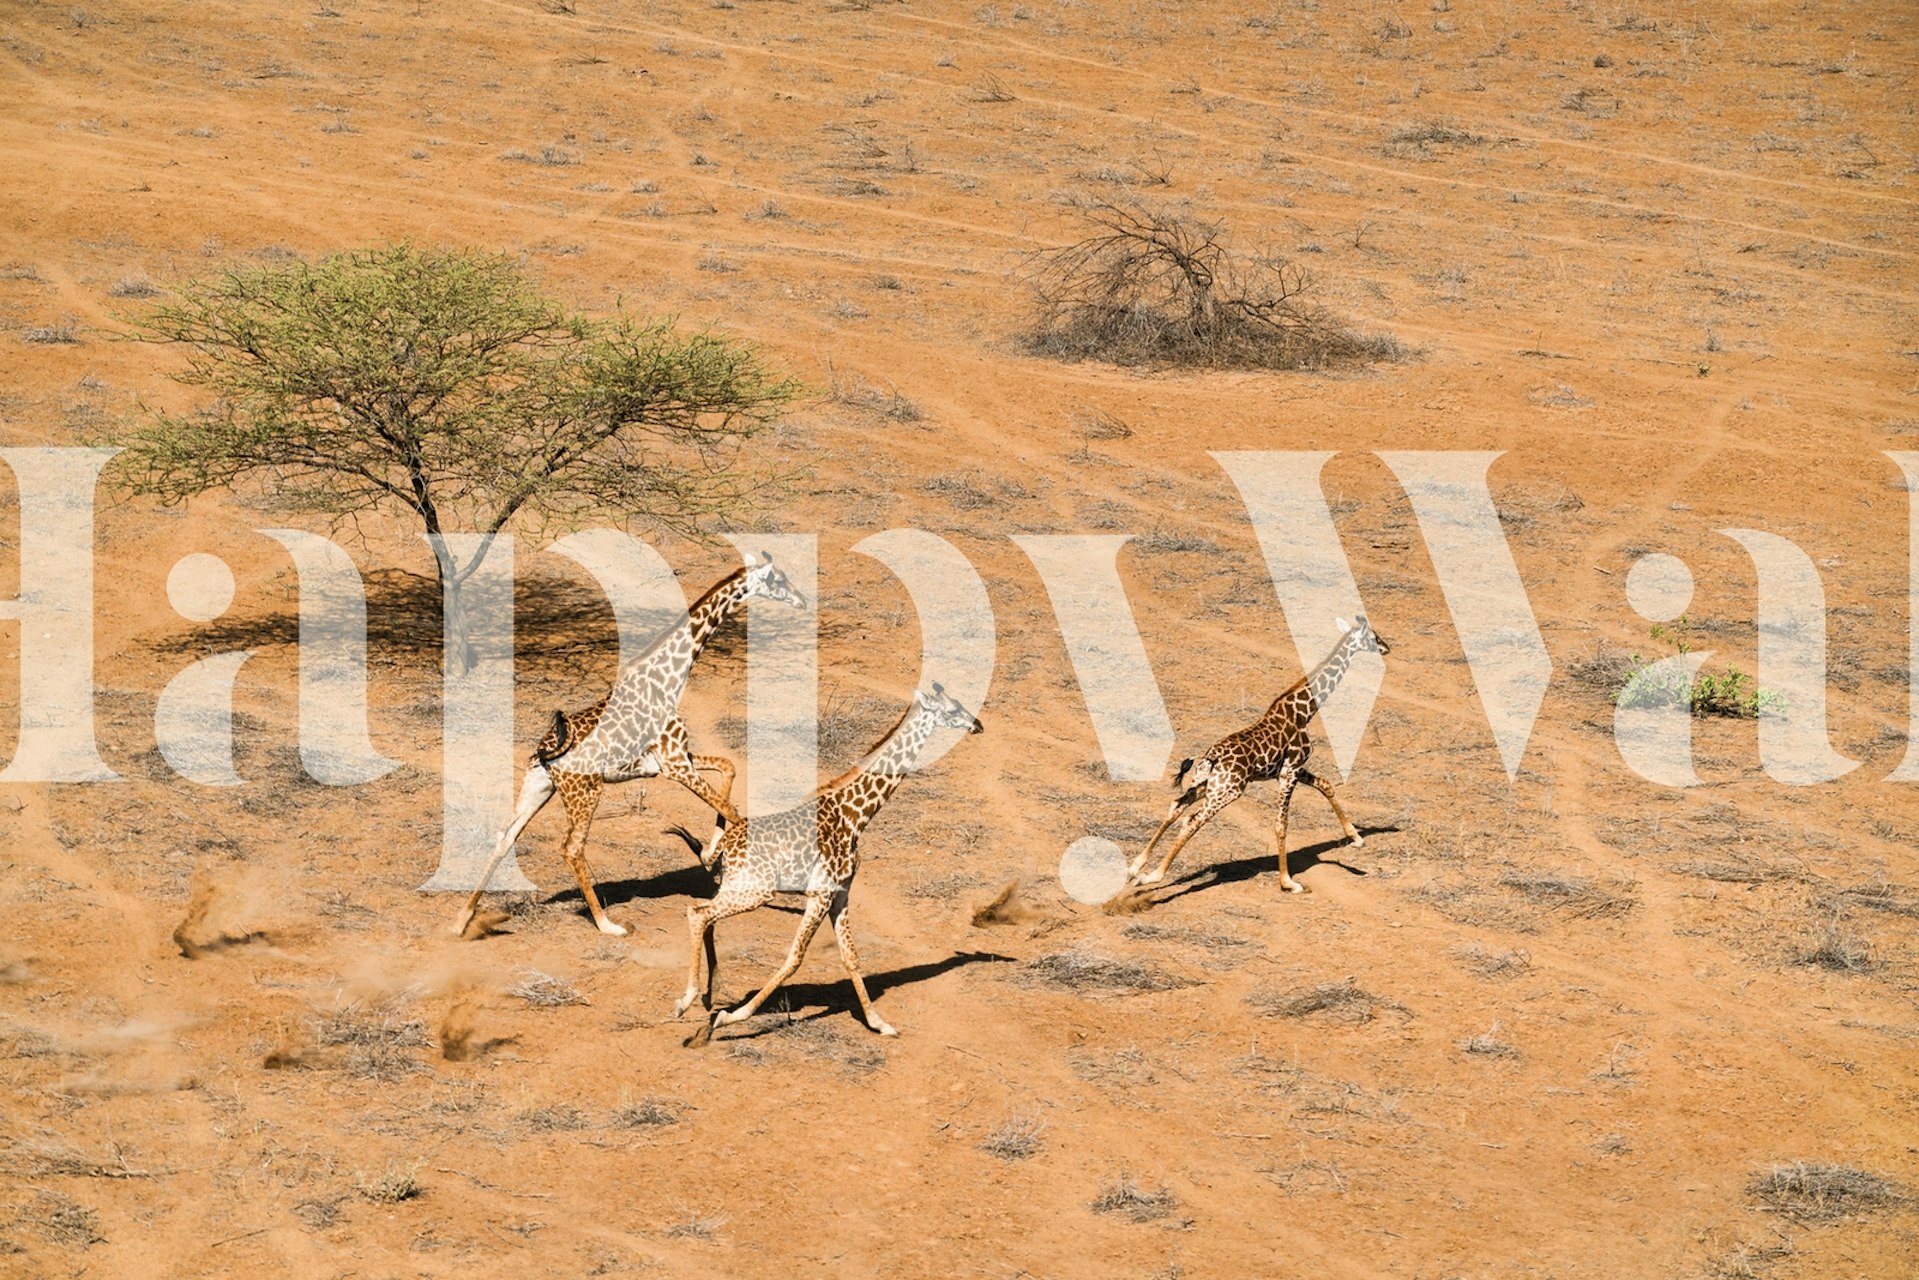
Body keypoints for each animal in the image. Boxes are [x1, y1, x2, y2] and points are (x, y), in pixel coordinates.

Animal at [451, 553, 806, 938]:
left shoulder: (675, 758)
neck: (668, 677)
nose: (803, 599)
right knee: (572, 847)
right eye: (778, 579)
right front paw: (718, 859)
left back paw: (462, 921)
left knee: (505, 837)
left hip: (539, 786)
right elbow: (734, 810)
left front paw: (708, 853)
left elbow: (729, 768)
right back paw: (608, 925)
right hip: (585, 792)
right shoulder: (675, 763)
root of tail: (547, 754)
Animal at [669, 683, 984, 1041]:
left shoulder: (841, 893)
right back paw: (688, 1000)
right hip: (755, 892)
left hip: (739, 887)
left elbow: (851, 956)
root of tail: (726, 845)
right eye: (953, 709)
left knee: (706, 915)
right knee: (698, 913)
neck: (855, 816)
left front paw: (879, 1023)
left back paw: (710, 993)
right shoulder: (820, 894)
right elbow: (795, 957)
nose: (977, 725)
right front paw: (733, 1017)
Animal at [1127, 615, 1389, 894]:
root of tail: (1211, 758)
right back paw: (1151, 877)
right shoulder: (1290, 771)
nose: (1387, 647)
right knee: (1192, 820)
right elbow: (1281, 824)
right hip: (1229, 791)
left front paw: (1356, 838)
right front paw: (1288, 882)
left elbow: (1326, 786)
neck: (1305, 710)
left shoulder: (1290, 769)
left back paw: (1135, 868)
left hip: (1206, 785)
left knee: (1177, 806)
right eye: (1373, 636)